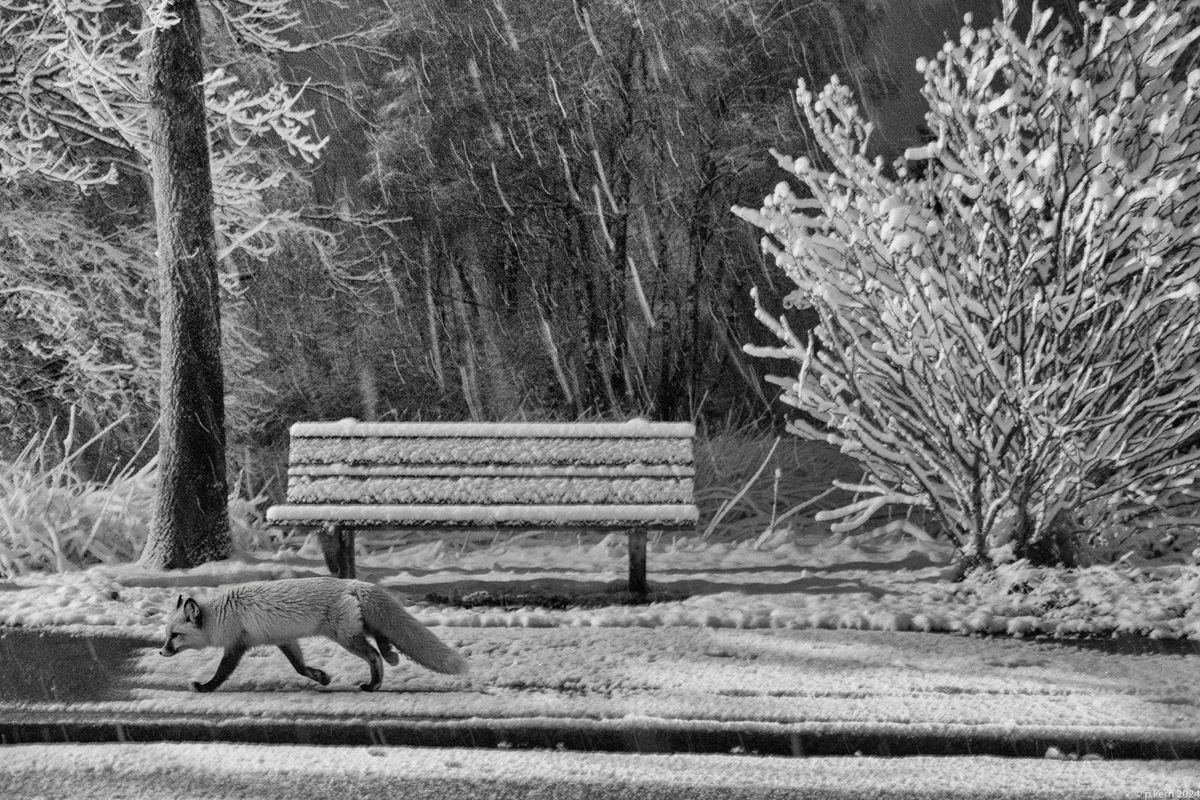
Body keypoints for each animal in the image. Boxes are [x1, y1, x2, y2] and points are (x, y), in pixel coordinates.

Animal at [162, 575, 470, 695]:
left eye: (174, 636)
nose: (160, 651)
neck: (221, 615)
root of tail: (354, 583)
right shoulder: (284, 640)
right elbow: (300, 667)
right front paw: (321, 677)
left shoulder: (237, 645)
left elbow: (221, 672)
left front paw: (204, 687)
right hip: (357, 627)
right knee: (382, 637)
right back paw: (391, 655)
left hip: (345, 637)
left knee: (373, 654)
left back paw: (374, 683)